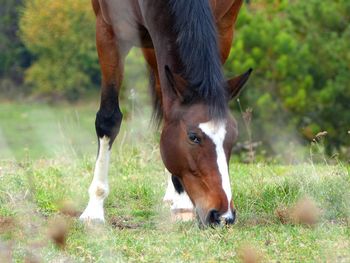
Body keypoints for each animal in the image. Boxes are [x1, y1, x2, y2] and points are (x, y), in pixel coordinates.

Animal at [80, 0, 252, 227]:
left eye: (233, 137)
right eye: (193, 137)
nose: (223, 216)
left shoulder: (221, 26)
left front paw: (182, 202)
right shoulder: (108, 30)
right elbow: (108, 119)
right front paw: (94, 209)